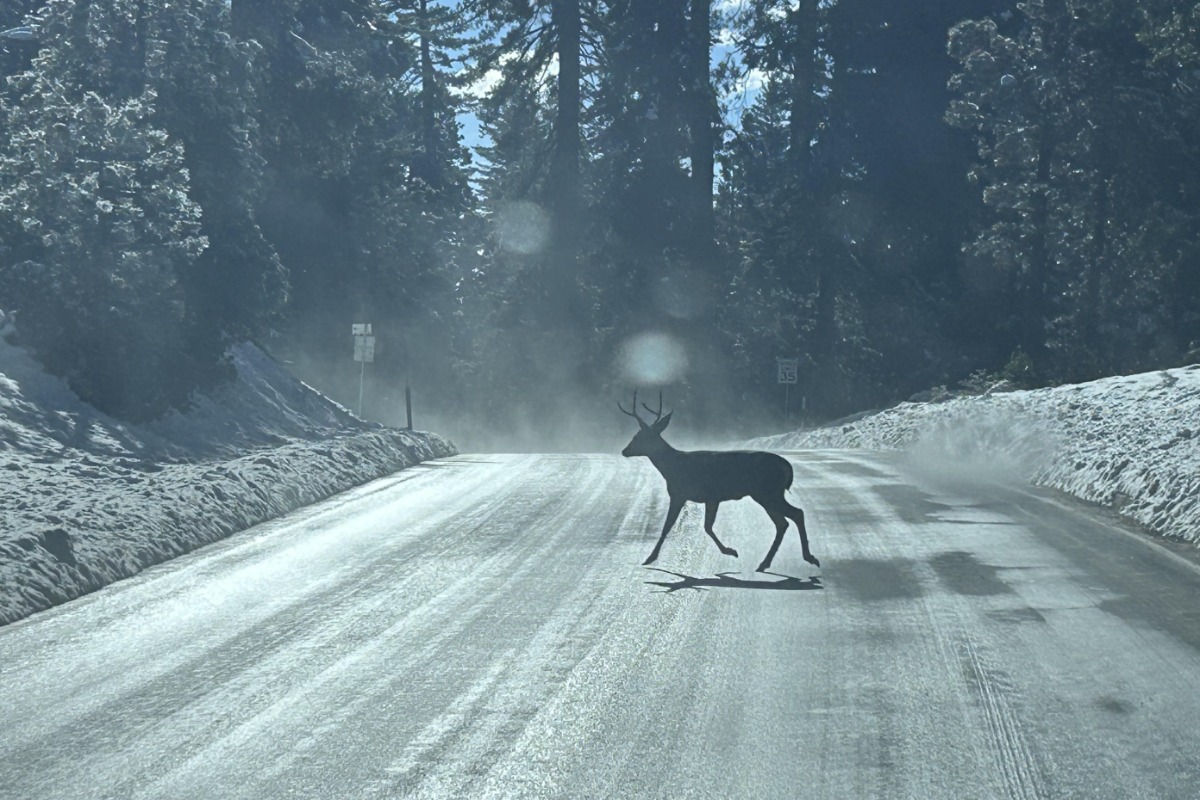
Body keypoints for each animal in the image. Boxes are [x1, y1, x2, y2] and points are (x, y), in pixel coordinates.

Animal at [619, 391, 820, 572]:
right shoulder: (711, 498)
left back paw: (809, 558)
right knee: (782, 523)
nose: (624, 450)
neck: (672, 467)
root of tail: (787, 467)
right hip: (767, 495)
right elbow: (707, 526)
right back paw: (765, 563)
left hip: (768, 492)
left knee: (796, 514)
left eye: (639, 437)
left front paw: (650, 558)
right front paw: (731, 551)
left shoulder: (679, 494)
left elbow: (668, 526)